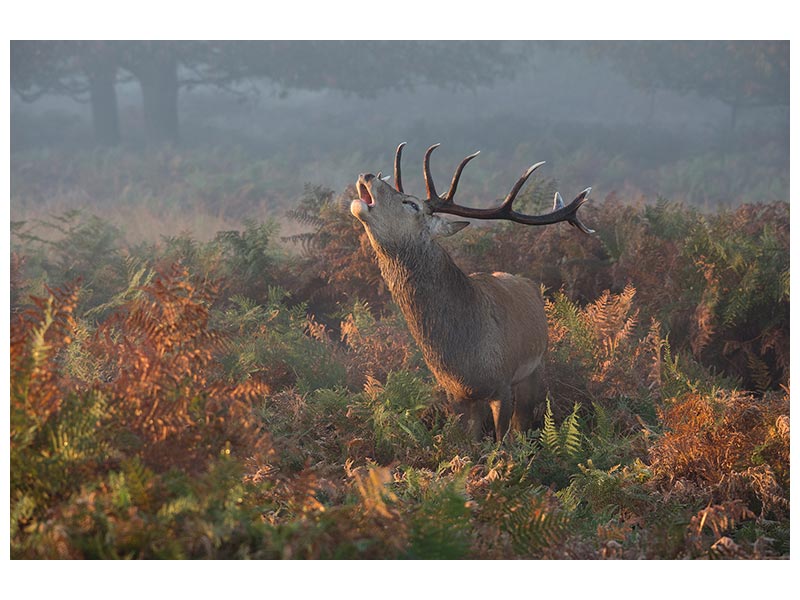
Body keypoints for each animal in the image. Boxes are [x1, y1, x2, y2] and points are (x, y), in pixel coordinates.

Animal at [350, 143, 594, 442]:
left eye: (411, 203)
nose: (367, 175)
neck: (465, 355)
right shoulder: (456, 394)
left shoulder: (503, 383)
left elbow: (502, 441)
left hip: (535, 368)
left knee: (522, 422)